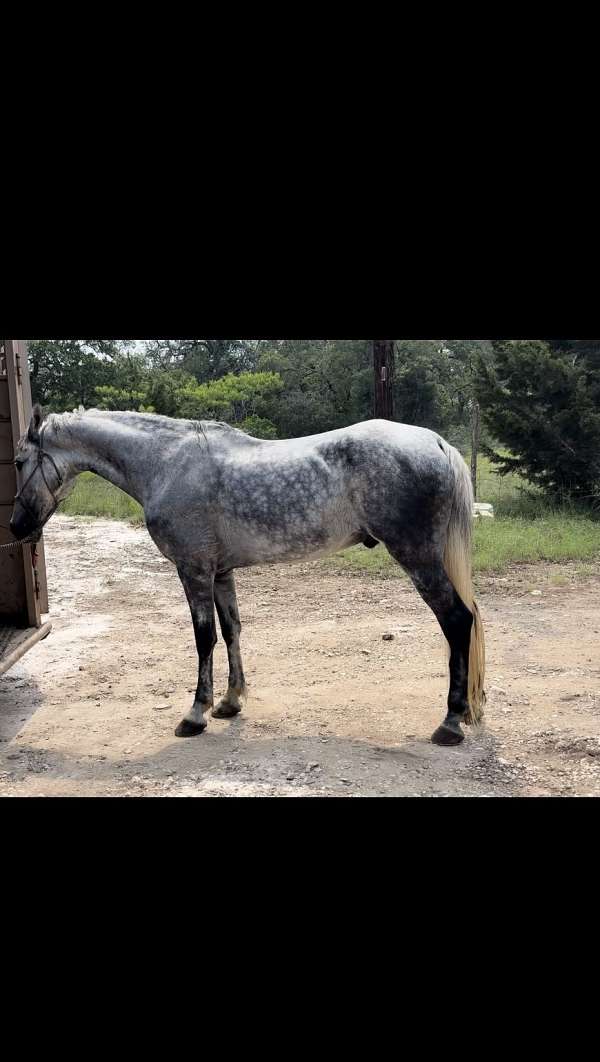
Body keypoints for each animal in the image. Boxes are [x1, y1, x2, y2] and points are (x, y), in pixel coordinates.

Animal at [10, 405, 486, 747]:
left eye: (17, 461)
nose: (16, 527)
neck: (166, 464)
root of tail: (435, 442)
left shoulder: (194, 571)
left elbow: (204, 639)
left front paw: (195, 714)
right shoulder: (221, 573)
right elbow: (232, 630)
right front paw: (229, 702)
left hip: (418, 558)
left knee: (457, 620)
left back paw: (450, 722)